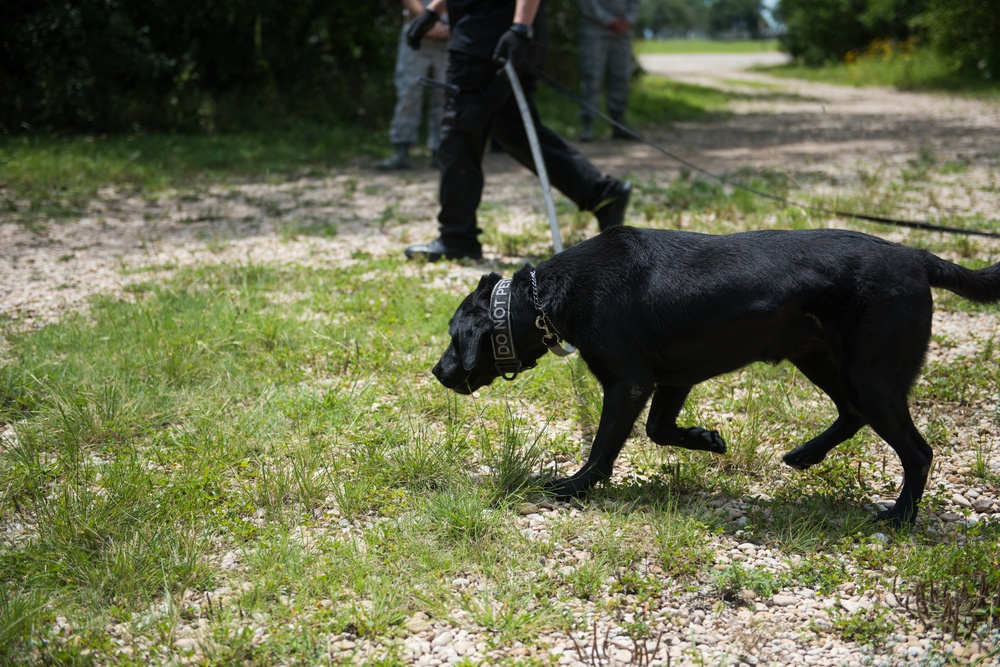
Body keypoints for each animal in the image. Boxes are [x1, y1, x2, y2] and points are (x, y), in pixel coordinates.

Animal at [436, 227, 1000, 524]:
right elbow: (659, 429)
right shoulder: (672, 378)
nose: (437, 371)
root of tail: (918, 256)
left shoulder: (629, 383)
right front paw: (708, 439)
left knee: (916, 450)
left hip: (871, 373)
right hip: (820, 358)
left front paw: (572, 487)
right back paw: (804, 455)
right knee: (851, 414)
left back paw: (899, 516)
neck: (547, 297)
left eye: (453, 335)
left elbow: (602, 449)